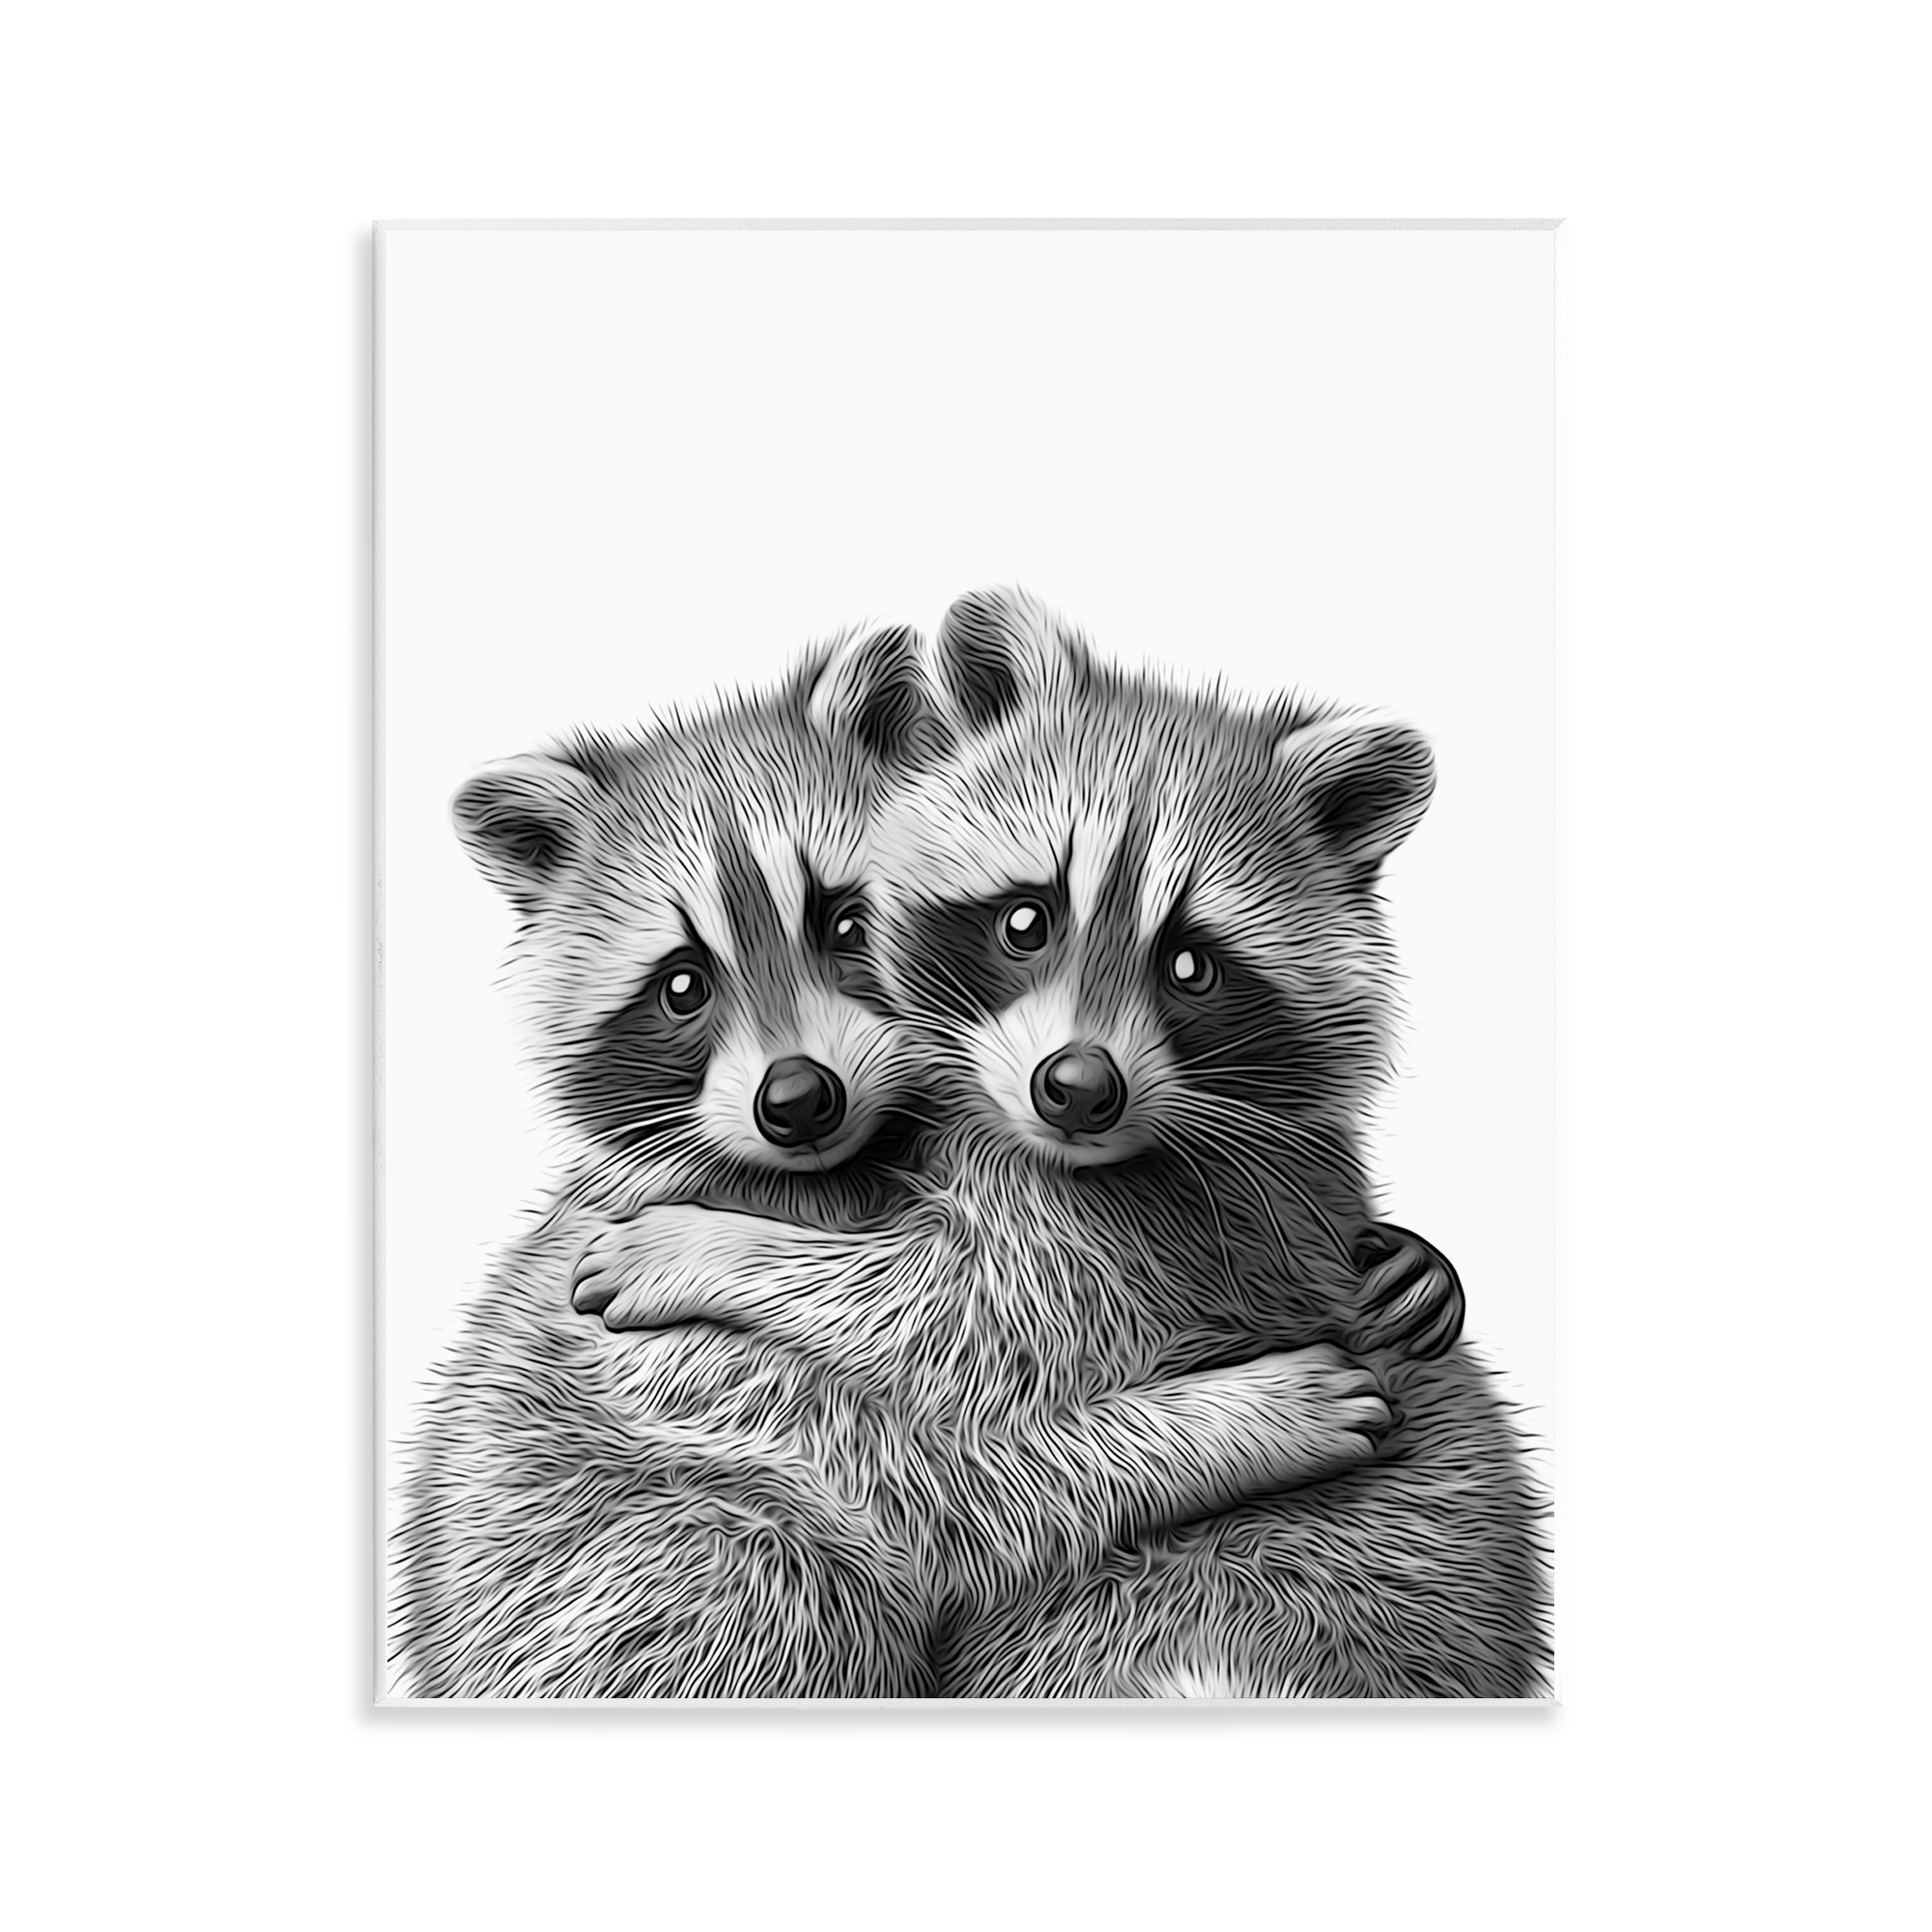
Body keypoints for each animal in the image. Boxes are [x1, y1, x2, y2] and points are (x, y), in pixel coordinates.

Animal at [392, 623, 1408, 1698]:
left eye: (845, 925)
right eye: (681, 986)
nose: (799, 1100)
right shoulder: (664, 1368)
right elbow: (936, 1489)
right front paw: (1232, 1422)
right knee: (767, 1567)